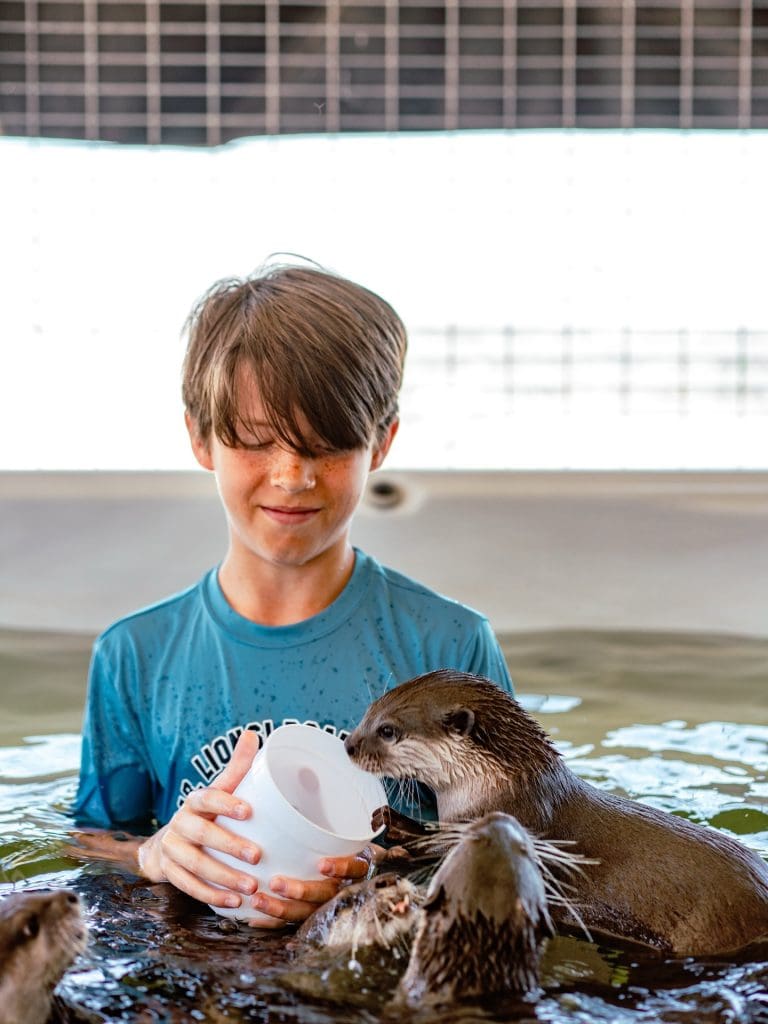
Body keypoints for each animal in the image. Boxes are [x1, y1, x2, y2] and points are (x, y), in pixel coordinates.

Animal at [345, 670, 768, 957]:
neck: (496, 788)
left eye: (388, 730)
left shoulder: (517, 819)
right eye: (368, 712)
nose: (348, 745)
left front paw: (402, 837)